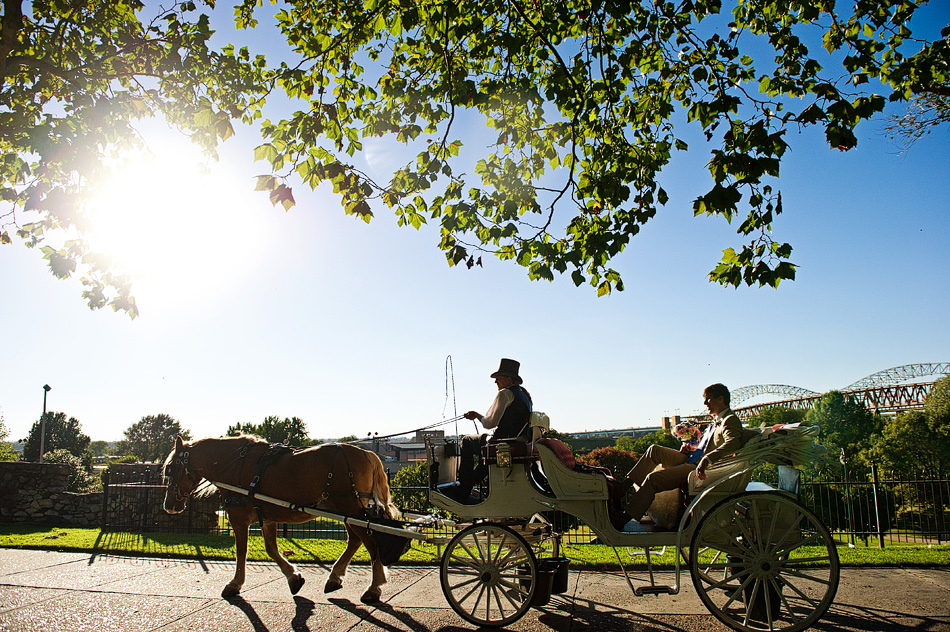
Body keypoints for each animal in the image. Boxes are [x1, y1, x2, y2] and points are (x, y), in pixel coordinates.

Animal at [162, 434, 400, 604]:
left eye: (170, 469)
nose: (169, 506)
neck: (235, 465)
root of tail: (366, 453)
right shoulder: (267, 517)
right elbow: (271, 549)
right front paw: (294, 577)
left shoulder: (238, 517)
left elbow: (241, 551)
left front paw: (235, 584)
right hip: (346, 510)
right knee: (356, 540)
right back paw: (335, 577)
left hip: (350, 508)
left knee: (370, 542)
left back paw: (374, 587)